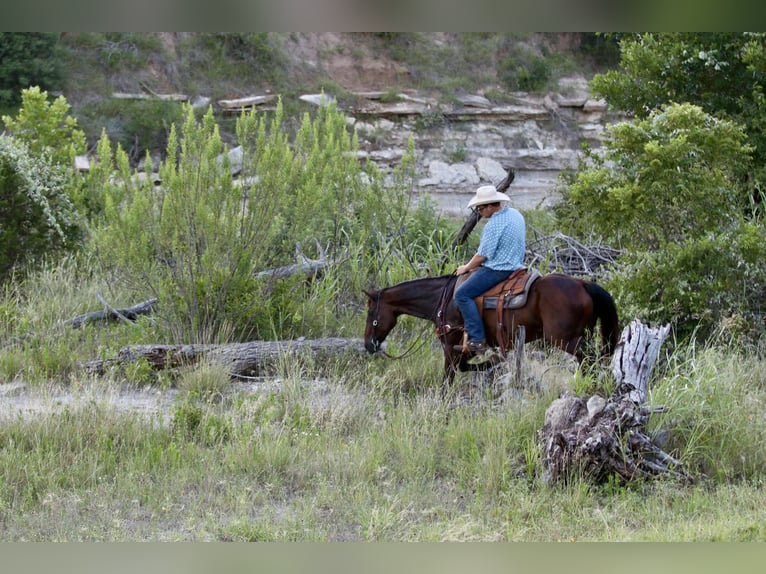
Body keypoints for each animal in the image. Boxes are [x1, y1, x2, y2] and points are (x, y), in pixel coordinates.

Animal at [363, 272, 619, 386]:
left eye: (371, 313)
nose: (368, 344)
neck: (444, 299)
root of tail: (583, 284)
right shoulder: (464, 349)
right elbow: (466, 367)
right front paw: (495, 362)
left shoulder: (451, 346)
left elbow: (449, 378)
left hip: (568, 340)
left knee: (593, 360)